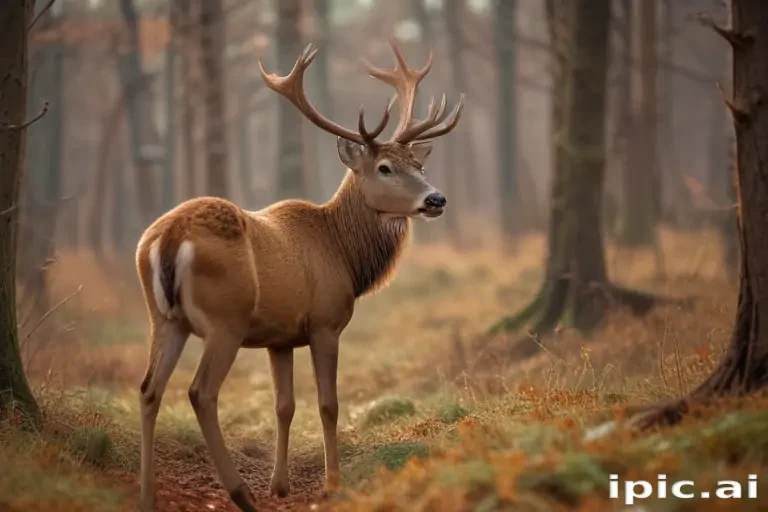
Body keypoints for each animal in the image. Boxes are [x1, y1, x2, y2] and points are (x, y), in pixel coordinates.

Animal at [135, 38, 463, 512]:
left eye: (417, 165)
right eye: (384, 167)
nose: (436, 198)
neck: (343, 254)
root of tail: (170, 236)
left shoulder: (280, 336)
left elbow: (284, 405)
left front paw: (281, 486)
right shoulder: (325, 321)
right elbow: (328, 404)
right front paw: (332, 483)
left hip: (163, 317)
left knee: (148, 388)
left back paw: (147, 495)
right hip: (225, 318)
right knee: (201, 392)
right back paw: (240, 493)